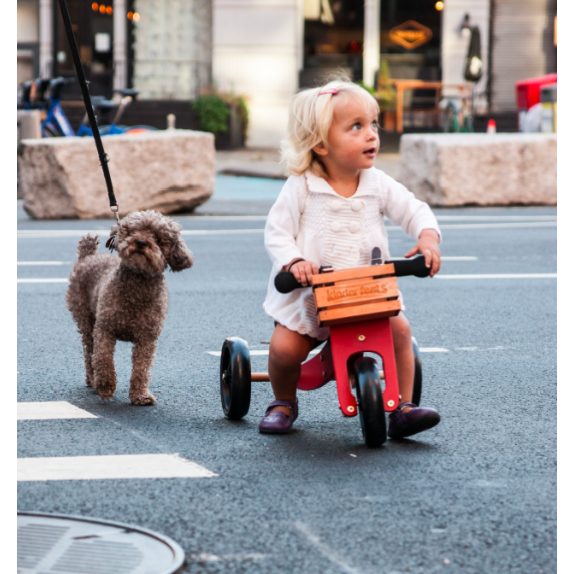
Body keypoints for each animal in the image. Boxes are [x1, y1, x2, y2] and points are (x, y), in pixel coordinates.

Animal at [66, 210, 195, 404]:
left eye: (158, 238)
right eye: (132, 231)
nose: (140, 242)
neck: (137, 285)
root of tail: (87, 257)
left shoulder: (147, 338)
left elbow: (142, 368)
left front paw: (140, 395)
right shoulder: (105, 329)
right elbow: (103, 358)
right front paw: (105, 386)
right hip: (85, 318)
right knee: (89, 353)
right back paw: (94, 381)